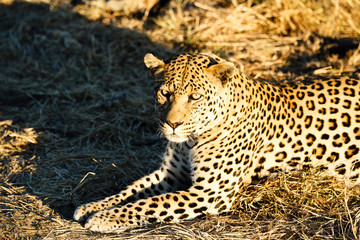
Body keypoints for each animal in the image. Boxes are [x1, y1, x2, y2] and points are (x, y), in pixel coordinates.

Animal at [73, 52, 360, 232]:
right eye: (165, 93)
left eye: (196, 97)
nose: (172, 124)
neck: (190, 141)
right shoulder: (171, 175)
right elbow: (131, 191)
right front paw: (92, 206)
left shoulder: (210, 192)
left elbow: (151, 203)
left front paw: (103, 218)